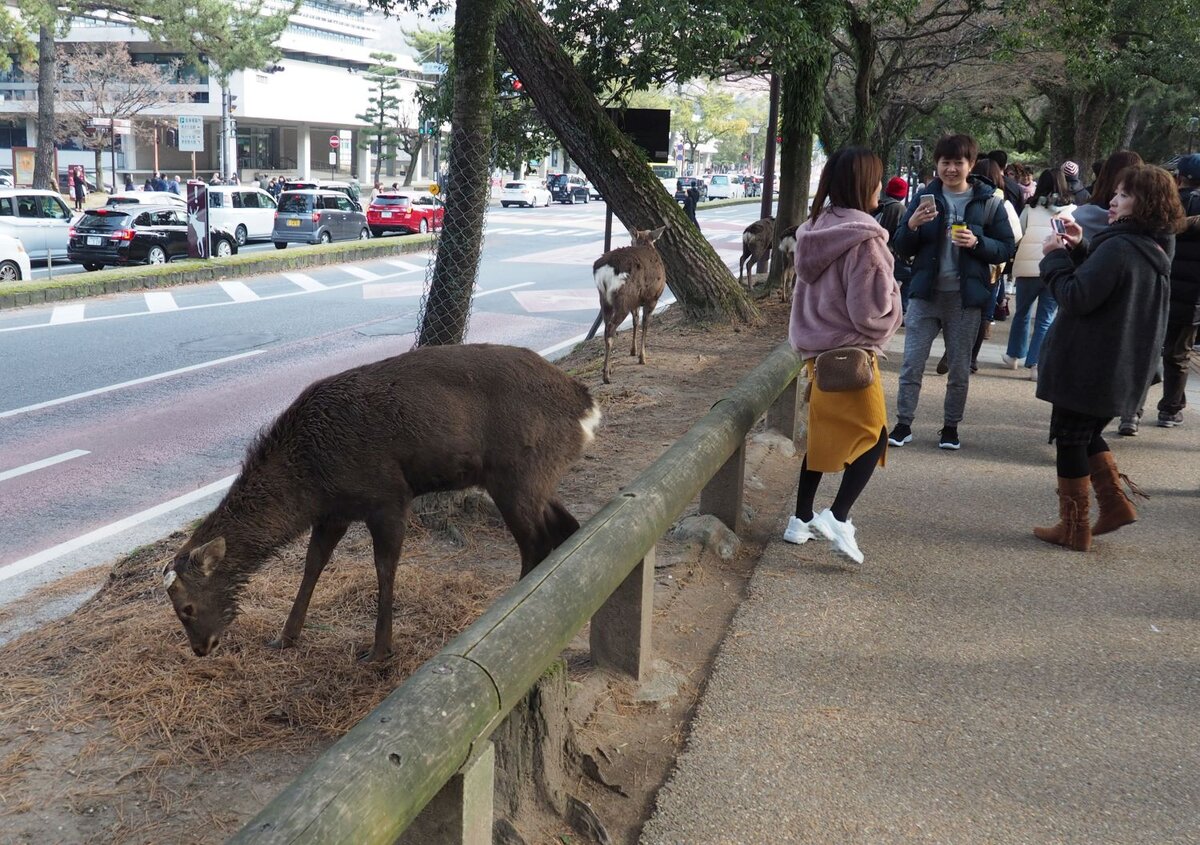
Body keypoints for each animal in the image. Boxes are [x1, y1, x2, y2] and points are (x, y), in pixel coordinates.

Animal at [162, 340, 600, 662]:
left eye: (186, 608)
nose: (201, 649)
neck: (310, 481)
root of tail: (586, 404)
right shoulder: (334, 513)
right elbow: (312, 566)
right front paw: (285, 637)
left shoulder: (388, 496)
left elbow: (384, 569)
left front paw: (379, 650)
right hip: (536, 477)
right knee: (566, 526)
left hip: (515, 473)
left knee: (535, 544)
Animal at [595, 224, 672, 384]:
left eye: (631, 240)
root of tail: (606, 269)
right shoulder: (652, 298)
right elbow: (645, 323)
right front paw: (642, 357)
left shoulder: (635, 302)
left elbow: (635, 321)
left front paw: (633, 351)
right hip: (623, 298)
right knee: (610, 328)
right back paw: (606, 376)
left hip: (604, 299)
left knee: (606, 328)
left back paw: (608, 369)